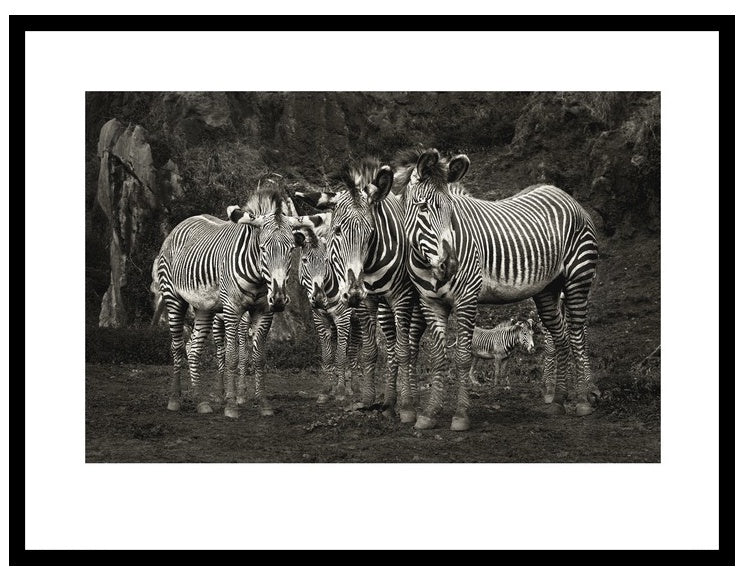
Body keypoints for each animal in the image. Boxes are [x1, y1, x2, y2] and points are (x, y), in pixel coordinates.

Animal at [155, 183, 314, 418]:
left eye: (291, 250)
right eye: (263, 248)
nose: (278, 298)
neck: (259, 279)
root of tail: (181, 224)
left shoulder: (264, 312)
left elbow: (258, 357)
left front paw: (263, 403)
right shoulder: (232, 310)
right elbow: (231, 355)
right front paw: (231, 404)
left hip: (204, 308)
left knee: (193, 348)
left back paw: (201, 401)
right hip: (173, 299)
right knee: (176, 346)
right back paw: (175, 399)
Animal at [302, 158, 425, 422]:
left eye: (371, 233)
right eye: (337, 231)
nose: (353, 293)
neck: (371, 265)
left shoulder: (402, 298)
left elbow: (403, 351)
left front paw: (407, 408)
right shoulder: (367, 303)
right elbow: (369, 351)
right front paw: (368, 400)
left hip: (418, 303)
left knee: (411, 345)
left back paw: (411, 398)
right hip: (384, 309)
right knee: (390, 346)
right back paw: (389, 402)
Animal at [393, 148, 599, 430]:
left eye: (451, 211)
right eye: (422, 207)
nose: (451, 264)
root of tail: (565, 195)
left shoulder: (467, 299)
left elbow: (462, 357)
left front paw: (460, 415)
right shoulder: (430, 302)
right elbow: (437, 357)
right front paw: (429, 414)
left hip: (578, 279)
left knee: (578, 335)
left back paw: (583, 401)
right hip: (548, 289)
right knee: (562, 338)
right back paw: (557, 401)